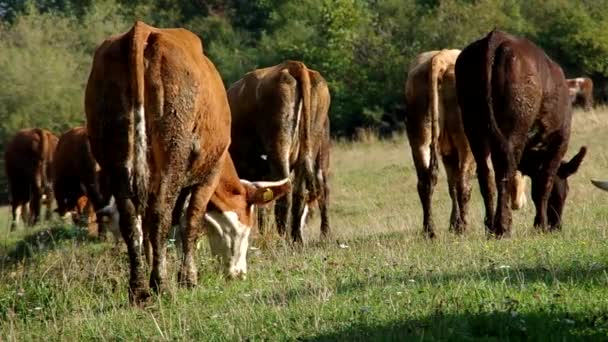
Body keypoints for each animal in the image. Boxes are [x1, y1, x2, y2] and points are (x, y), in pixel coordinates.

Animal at [85, 21, 292, 304]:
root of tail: (142, 31)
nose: (239, 274)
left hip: (115, 159)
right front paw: (188, 278)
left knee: (132, 220)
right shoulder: (209, 174)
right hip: (173, 153)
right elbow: (191, 222)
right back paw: (161, 285)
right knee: (159, 215)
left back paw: (138, 289)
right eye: (246, 229)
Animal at [228, 61, 332, 243]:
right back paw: (299, 238)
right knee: (307, 192)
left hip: (279, 148)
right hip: (312, 148)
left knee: (287, 194)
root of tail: (293, 65)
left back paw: (283, 238)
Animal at [404, 49, 528, 238]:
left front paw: (453, 224)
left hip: (419, 138)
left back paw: (430, 230)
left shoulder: (449, 154)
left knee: (425, 183)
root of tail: (440, 58)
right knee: (464, 185)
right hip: (466, 142)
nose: (519, 204)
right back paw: (464, 227)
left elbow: (452, 185)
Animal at [454, 29, 588, 236]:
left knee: (485, 173)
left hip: (473, 126)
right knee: (504, 168)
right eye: (565, 191)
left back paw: (490, 225)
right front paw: (540, 224)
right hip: (514, 125)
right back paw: (503, 226)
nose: (557, 226)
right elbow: (544, 183)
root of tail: (496, 38)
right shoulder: (560, 141)